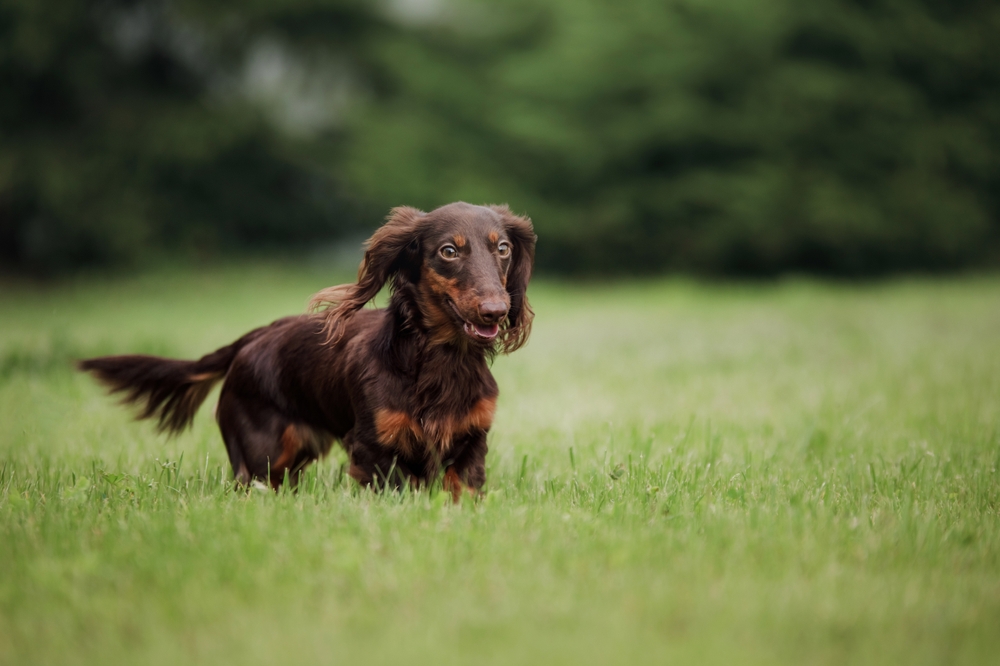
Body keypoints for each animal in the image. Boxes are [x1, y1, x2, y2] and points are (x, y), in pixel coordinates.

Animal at [78, 202, 536, 498]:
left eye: (502, 249)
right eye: (449, 251)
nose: (496, 311)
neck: (440, 361)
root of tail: (254, 336)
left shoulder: (471, 443)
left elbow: (462, 493)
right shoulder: (374, 448)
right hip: (262, 456)